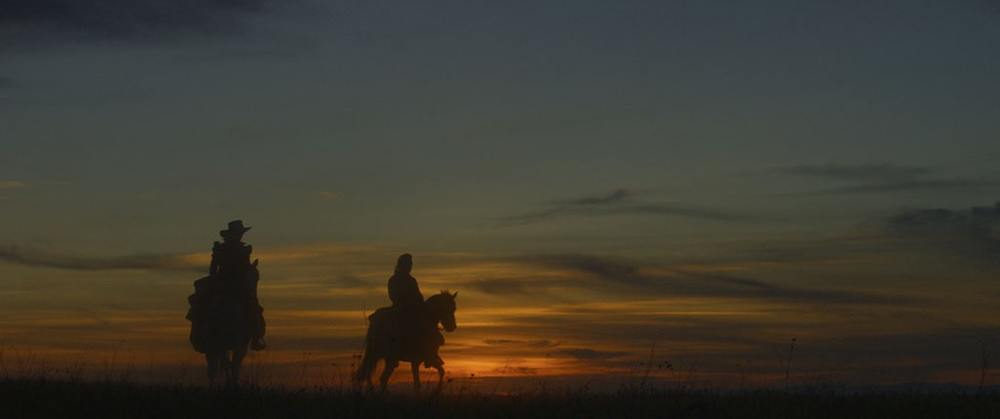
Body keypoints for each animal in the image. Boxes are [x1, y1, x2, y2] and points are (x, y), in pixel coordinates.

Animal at [187, 260, 258, 388]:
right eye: (245, 275)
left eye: (257, 277)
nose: (251, 295)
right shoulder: (220, 344)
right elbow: (225, 365)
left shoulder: (239, 344)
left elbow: (234, 365)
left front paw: (233, 382)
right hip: (214, 345)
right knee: (213, 368)